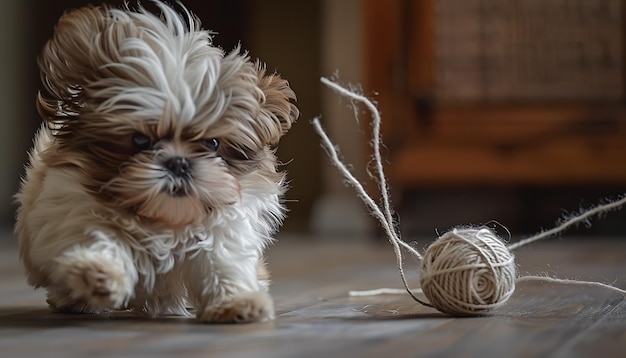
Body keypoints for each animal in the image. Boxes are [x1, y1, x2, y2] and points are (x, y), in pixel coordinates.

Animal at [14, 0, 298, 324]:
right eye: (140, 141)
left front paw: (238, 301)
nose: (179, 163)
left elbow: (222, 262)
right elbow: (100, 239)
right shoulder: (75, 211)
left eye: (212, 144)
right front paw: (98, 273)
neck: (164, 221)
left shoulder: (223, 229)